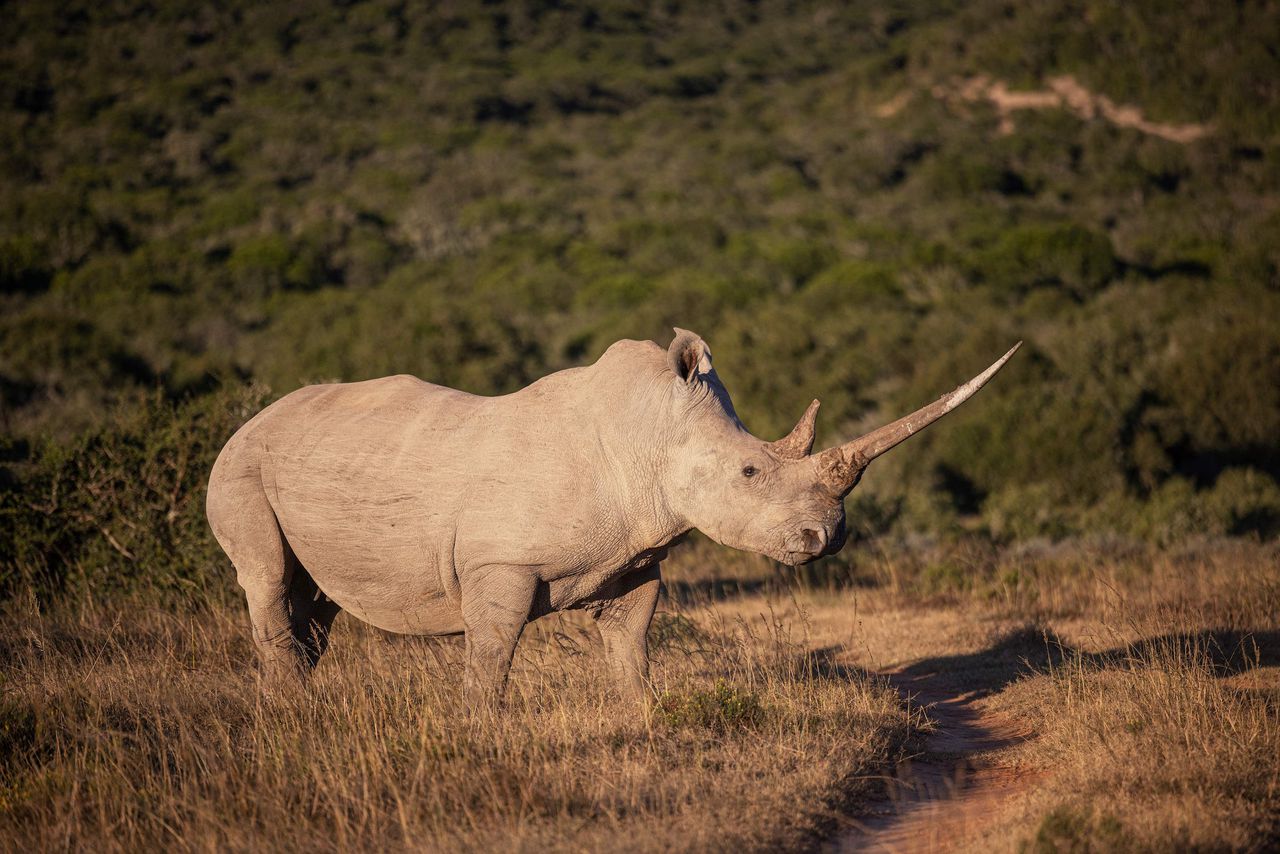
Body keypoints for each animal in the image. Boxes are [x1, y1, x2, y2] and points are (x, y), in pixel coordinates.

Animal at [202, 327, 1018, 701]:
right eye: (751, 471)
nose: (830, 538)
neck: (653, 436)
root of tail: (241, 425)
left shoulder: (635, 559)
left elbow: (632, 644)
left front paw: (644, 714)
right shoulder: (500, 561)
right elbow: (490, 656)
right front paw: (481, 729)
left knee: (312, 599)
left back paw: (299, 704)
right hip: (239, 470)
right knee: (268, 578)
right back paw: (292, 712)